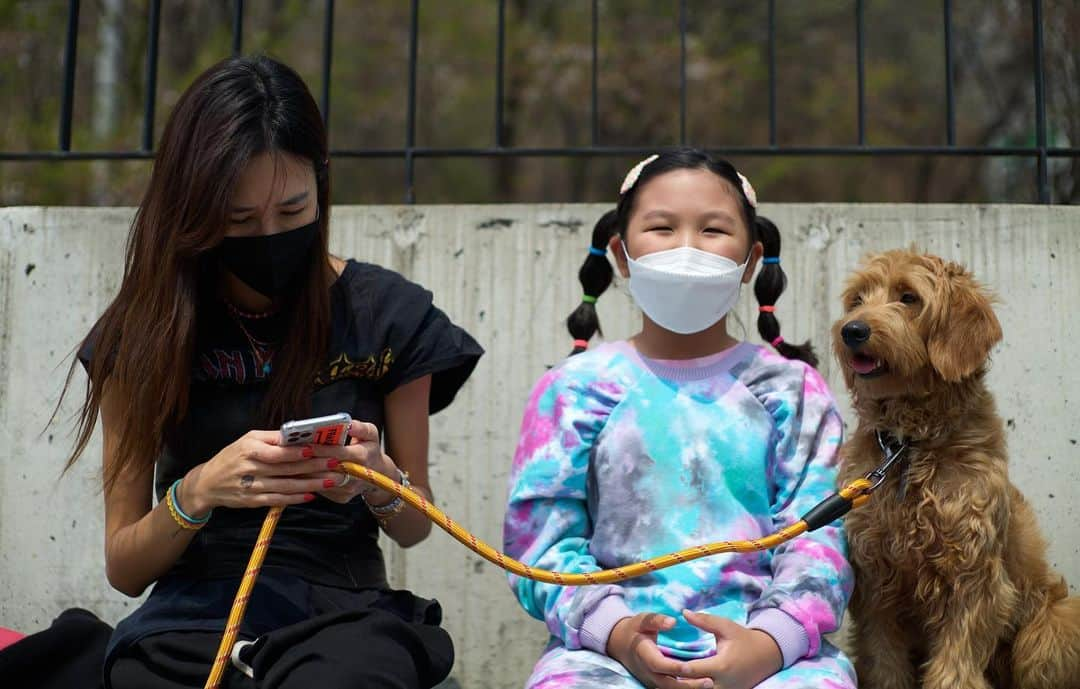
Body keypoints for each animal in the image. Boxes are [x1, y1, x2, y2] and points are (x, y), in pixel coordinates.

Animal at [829, 249, 1075, 689]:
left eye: (908, 297)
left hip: (1052, 626)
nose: (851, 330)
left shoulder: (973, 577)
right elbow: (884, 661)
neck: (909, 446)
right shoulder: (876, 581)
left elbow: (955, 664)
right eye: (857, 299)